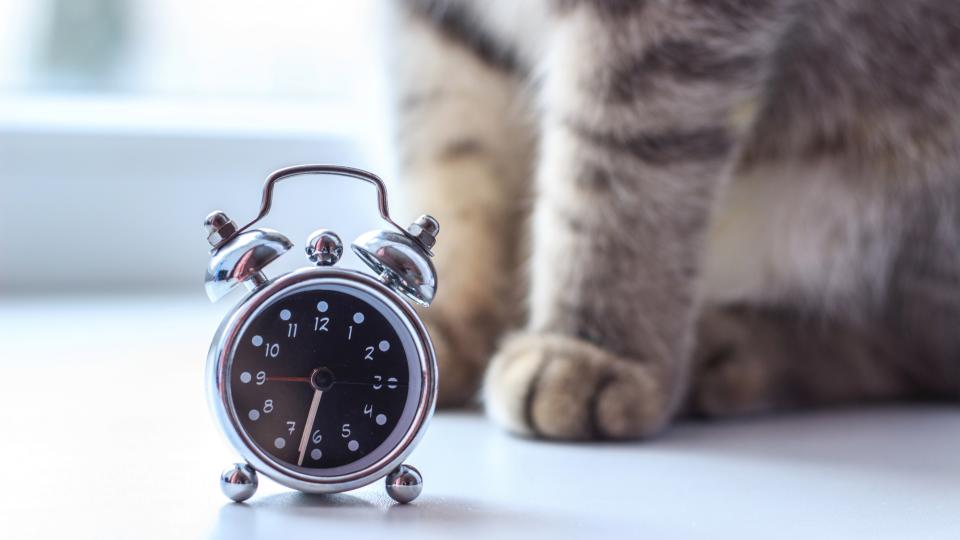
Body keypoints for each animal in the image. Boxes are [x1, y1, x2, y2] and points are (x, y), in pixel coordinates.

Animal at [382, 0, 960, 438]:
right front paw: (435, 324)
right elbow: (455, 163)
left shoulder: (658, 26)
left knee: (908, 345)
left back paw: (732, 351)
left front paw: (590, 346)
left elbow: (616, 178)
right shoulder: (442, 31)